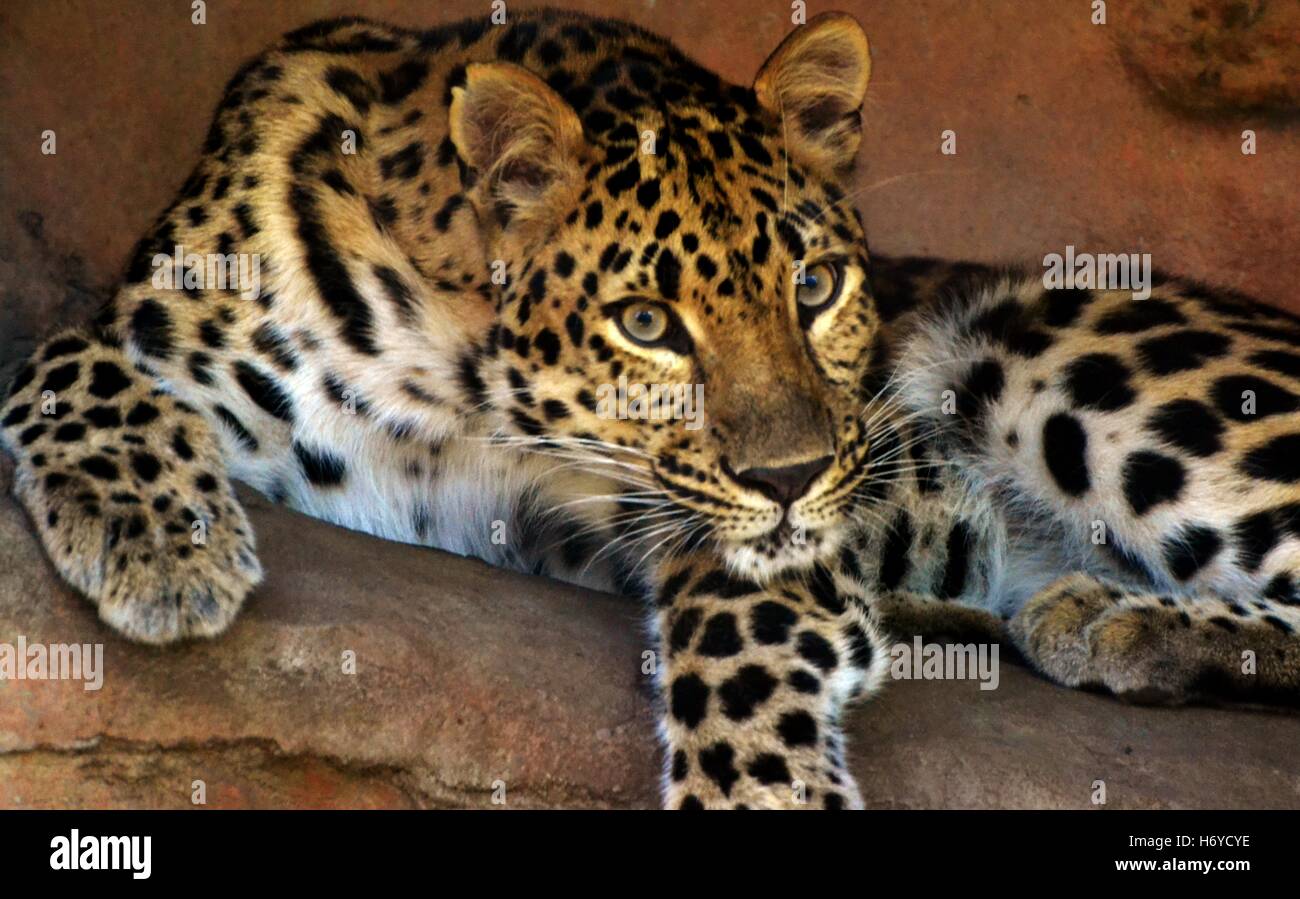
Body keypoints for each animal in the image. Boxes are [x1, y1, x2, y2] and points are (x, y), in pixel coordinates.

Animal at [2, 8, 1299, 811]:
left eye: (814, 287)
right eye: (645, 321)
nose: (792, 478)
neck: (461, 374)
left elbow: (741, 627)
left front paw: (761, 789)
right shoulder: (154, 321)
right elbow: (54, 356)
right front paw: (163, 548)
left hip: (1050, 346)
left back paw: (1108, 613)